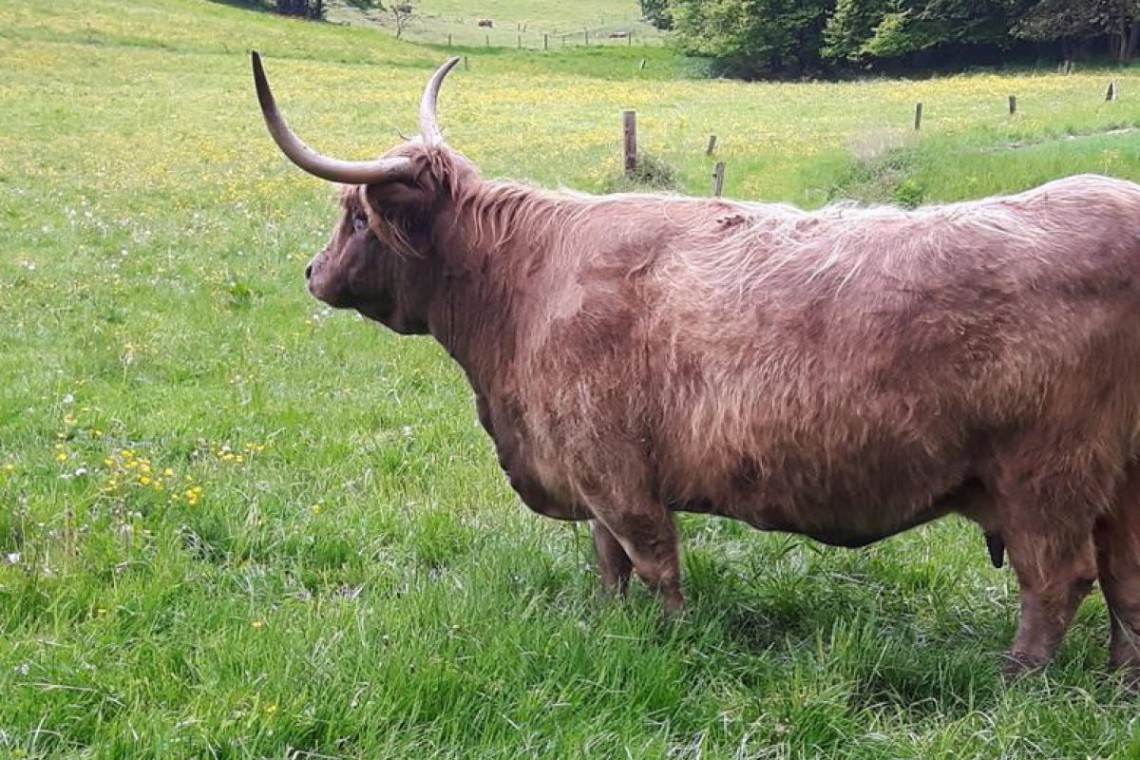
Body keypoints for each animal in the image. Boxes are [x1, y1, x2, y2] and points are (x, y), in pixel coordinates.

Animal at [254, 53, 1140, 679]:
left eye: (355, 217)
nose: (310, 272)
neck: (520, 289)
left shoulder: (614, 469)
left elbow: (654, 563)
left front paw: (672, 641)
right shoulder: (592, 472)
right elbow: (609, 563)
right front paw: (608, 626)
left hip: (1047, 476)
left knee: (1058, 579)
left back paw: (1015, 679)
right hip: (1121, 481)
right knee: (1125, 579)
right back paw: (1118, 681)